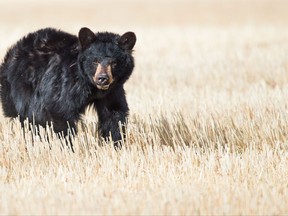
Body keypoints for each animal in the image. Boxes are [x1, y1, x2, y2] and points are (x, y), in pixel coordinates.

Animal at [0, 27, 137, 147]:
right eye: (95, 61)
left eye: (114, 62)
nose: (102, 78)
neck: (90, 86)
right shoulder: (64, 84)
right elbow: (61, 111)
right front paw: (68, 147)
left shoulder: (112, 91)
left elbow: (114, 114)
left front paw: (116, 145)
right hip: (20, 91)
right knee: (32, 119)